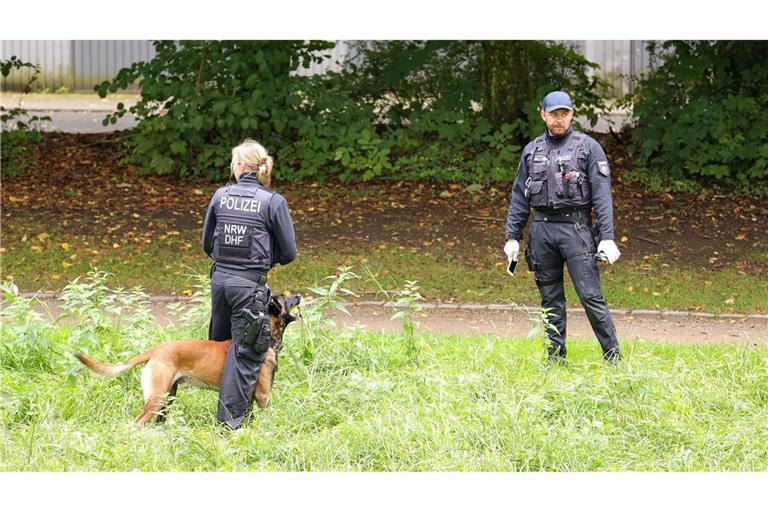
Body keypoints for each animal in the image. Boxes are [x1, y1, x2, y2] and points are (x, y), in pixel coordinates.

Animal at [73, 292, 300, 428]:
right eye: (287, 299)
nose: (298, 295)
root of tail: (155, 350)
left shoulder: (249, 400)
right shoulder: (263, 396)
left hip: (167, 396)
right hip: (157, 397)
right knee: (137, 423)